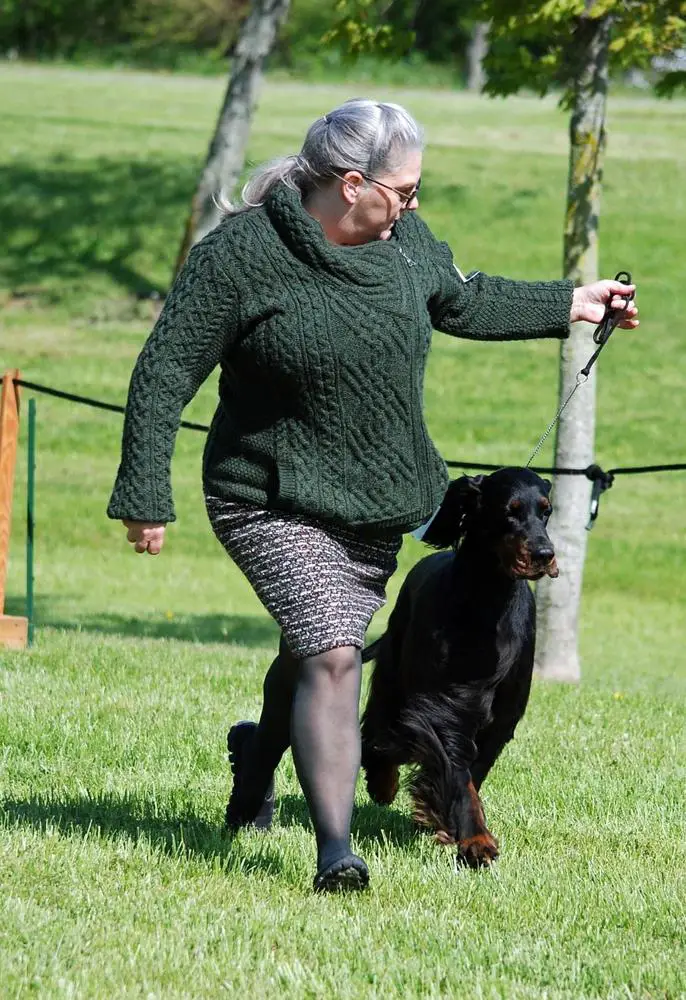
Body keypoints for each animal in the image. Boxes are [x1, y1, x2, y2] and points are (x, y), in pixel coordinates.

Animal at [360, 468, 560, 868]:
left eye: (546, 510)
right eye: (510, 510)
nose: (545, 554)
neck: (487, 601)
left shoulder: (502, 717)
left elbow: (473, 773)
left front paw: (450, 825)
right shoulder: (444, 705)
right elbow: (455, 768)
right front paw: (476, 839)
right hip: (395, 669)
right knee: (382, 726)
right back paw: (382, 780)